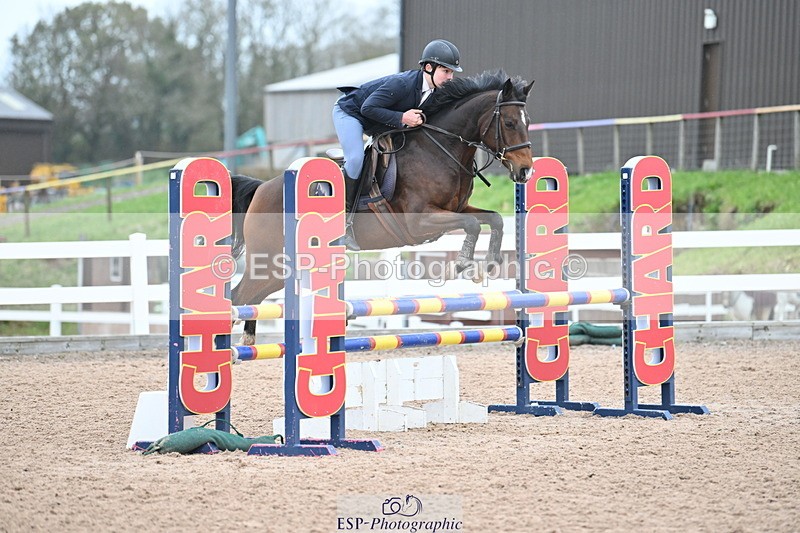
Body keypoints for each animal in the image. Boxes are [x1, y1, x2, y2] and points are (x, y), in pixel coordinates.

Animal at [231, 70, 535, 345]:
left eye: (528, 122)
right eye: (509, 123)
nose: (525, 171)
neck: (440, 148)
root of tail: (262, 189)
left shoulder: (457, 210)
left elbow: (493, 220)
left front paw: (489, 264)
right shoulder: (418, 221)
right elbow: (472, 225)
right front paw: (461, 265)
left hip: (282, 268)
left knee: (250, 298)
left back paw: (247, 340)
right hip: (271, 259)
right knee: (238, 296)